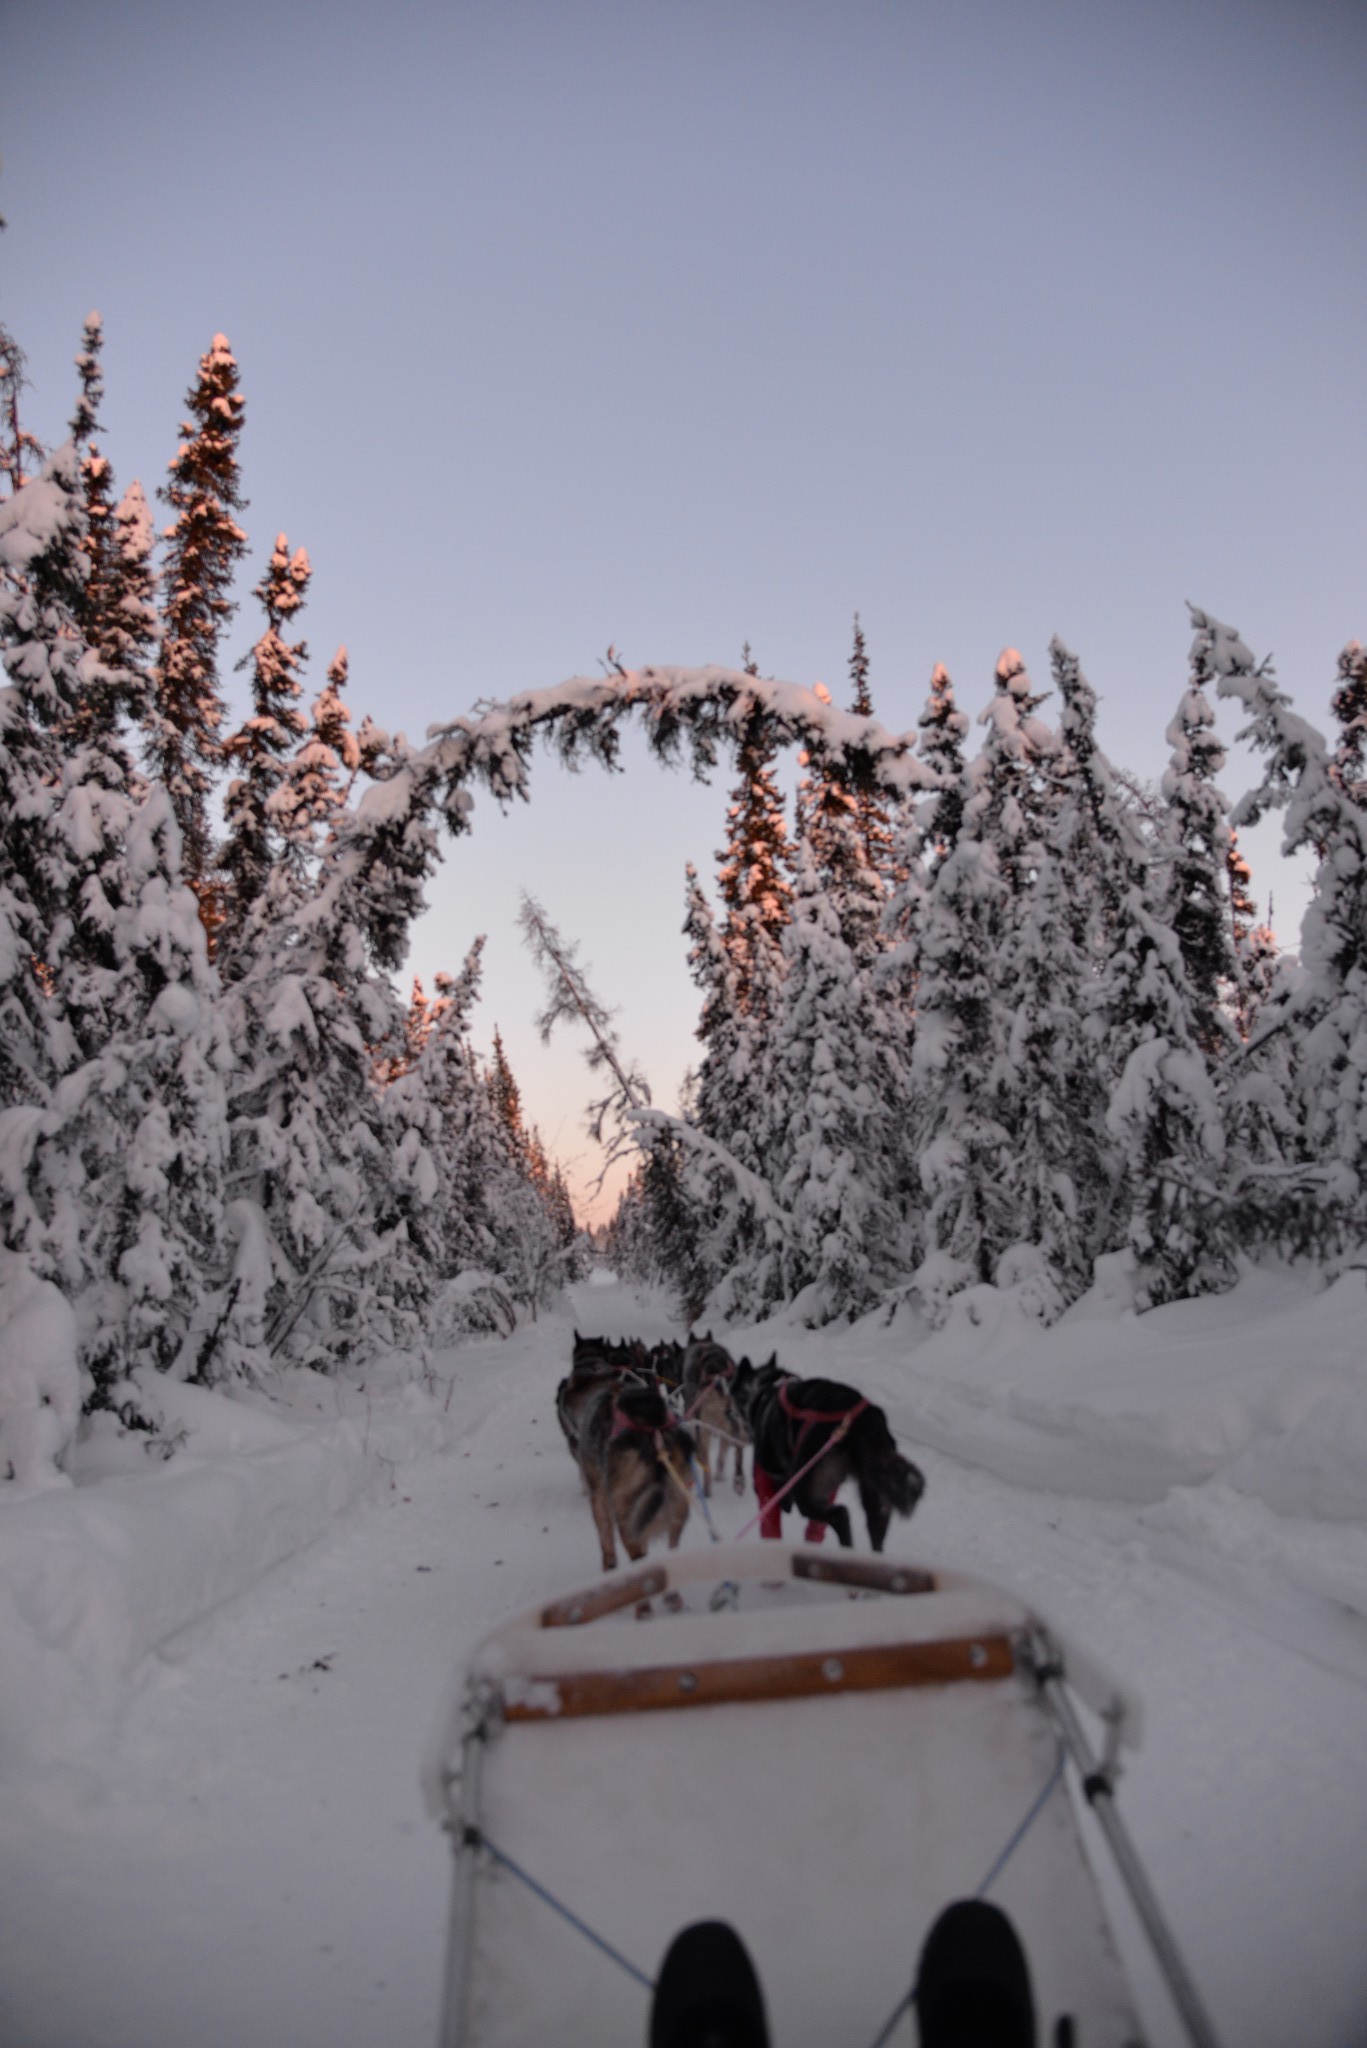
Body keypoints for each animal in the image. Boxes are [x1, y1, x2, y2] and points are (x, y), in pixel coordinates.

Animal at [573, 1376, 696, 1564]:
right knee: (672, 1543)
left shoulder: (599, 1498)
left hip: (627, 1515)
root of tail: (654, 1427)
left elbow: (607, 1543)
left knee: (636, 1553)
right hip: (676, 1505)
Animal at [725, 1359, 930, 1548]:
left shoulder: (767, 1482)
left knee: (841, 1514)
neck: (763, 1391)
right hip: (875, 1496)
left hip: (805, 1491)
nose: (727, 1412)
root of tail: (862, 1420)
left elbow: (771, 1522)